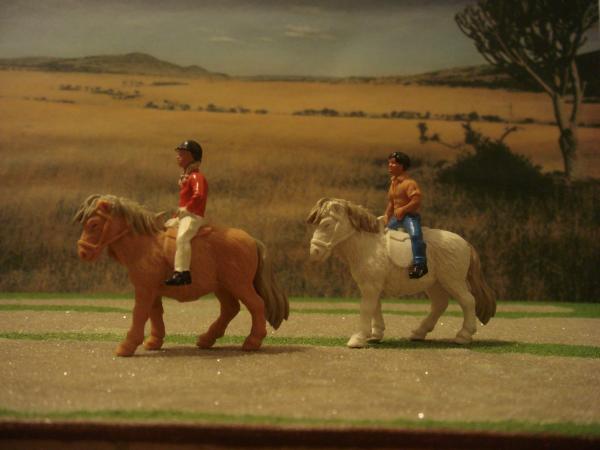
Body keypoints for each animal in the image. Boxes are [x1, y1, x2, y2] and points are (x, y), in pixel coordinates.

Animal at [74, 195, 290, 356]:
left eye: (94, 224)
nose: (83, 253)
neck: (144, 245)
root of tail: (252, 240)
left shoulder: (144, 289)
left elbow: (139, 313)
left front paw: (126, 346)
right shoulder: (152, 290)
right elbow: (155, 313)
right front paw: (154, 341)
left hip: (239, 285)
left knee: (256, 305)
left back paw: (252, 342)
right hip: (222, 286)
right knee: (230, 309)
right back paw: (206, 339)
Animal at [308, 198, 494, 348]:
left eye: (326, 224)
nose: (314, 252)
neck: (368, 246)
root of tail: (465, 243)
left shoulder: (370, 287)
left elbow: (367, 308)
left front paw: (358, 339)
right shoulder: (372, 286)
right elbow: (375, 307)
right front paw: (376, 335)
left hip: (453, 281)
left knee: (468, 301)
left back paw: (463, 336)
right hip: (435, 284)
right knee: (439, 304)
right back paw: (418, 333)